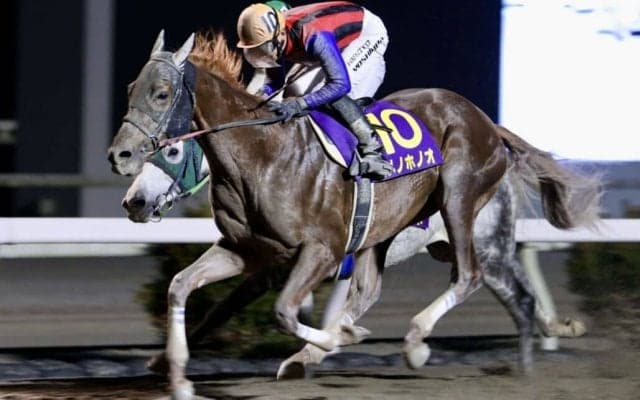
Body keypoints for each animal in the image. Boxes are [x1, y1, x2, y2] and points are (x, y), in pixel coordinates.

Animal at [108, 32, 600, 399]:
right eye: (131, 90)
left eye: (162, 94)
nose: (124, 169)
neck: (262, 154)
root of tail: (487, 122)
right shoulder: (248, 252)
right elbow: (189, 291)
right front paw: (172, 371)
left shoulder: (319, 251)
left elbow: (284, 312)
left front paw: (341, 338)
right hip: (407, 241)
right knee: (499, 298)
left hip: (465, 208)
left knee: (472, 277)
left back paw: (416, 345)